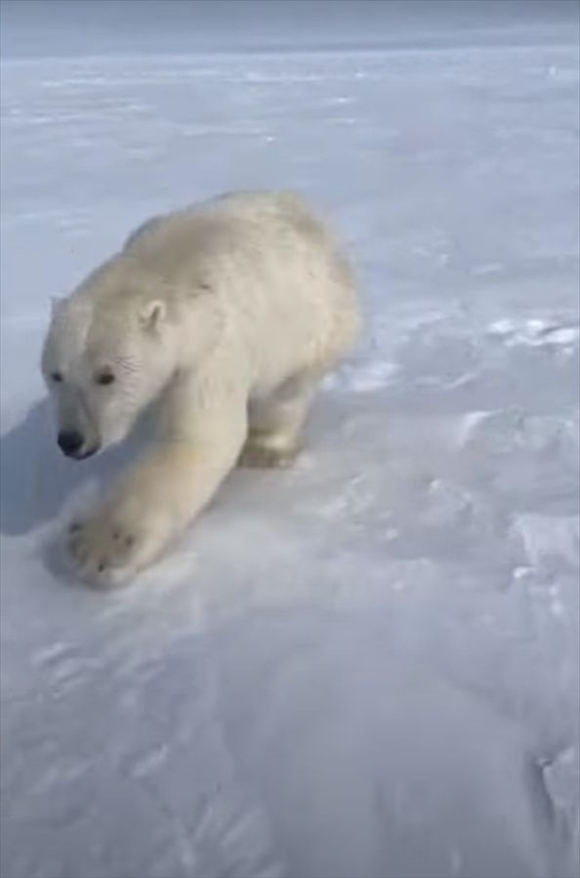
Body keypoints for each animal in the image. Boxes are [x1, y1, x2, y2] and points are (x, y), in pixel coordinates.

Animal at [42, 192, 358, 592]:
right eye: (56, 374)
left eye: (106, 376)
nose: (72, 441)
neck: (165, 270)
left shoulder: (211, 351)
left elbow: (196, 440)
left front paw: (99, 546)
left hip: (318, 325)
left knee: (287, 393)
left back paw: (265, 449)